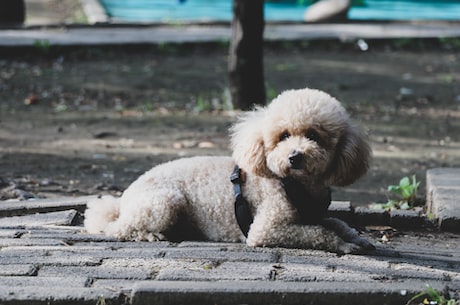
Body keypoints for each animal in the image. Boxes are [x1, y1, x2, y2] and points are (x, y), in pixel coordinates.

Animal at [85, 86, 374, 253]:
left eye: (313, 135)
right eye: (283, 136)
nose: (294, 157)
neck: (295, 183)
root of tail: (123, 200)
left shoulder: (314, 215)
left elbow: (337, 222)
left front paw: (357, 238)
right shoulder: (268, 229)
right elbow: (319, 232)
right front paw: (344, 245)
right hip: (165, 202)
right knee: (118, 228)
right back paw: (151, 234)